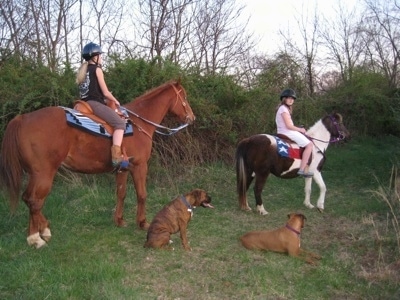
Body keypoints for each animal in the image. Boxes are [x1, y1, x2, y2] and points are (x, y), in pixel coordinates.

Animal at [0, 79, 195, 248]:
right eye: (184, 97)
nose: (192, 118)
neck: (138, 124)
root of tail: (23, 119)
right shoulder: (140, 166)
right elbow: (142, 194)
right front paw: (142, 223)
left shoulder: (122, 169)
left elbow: (121, 194)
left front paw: (119, 220)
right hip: (43, 173)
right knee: (34, 201)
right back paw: (36, 238)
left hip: (35, 174)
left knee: (28, 199)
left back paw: (44, 230)